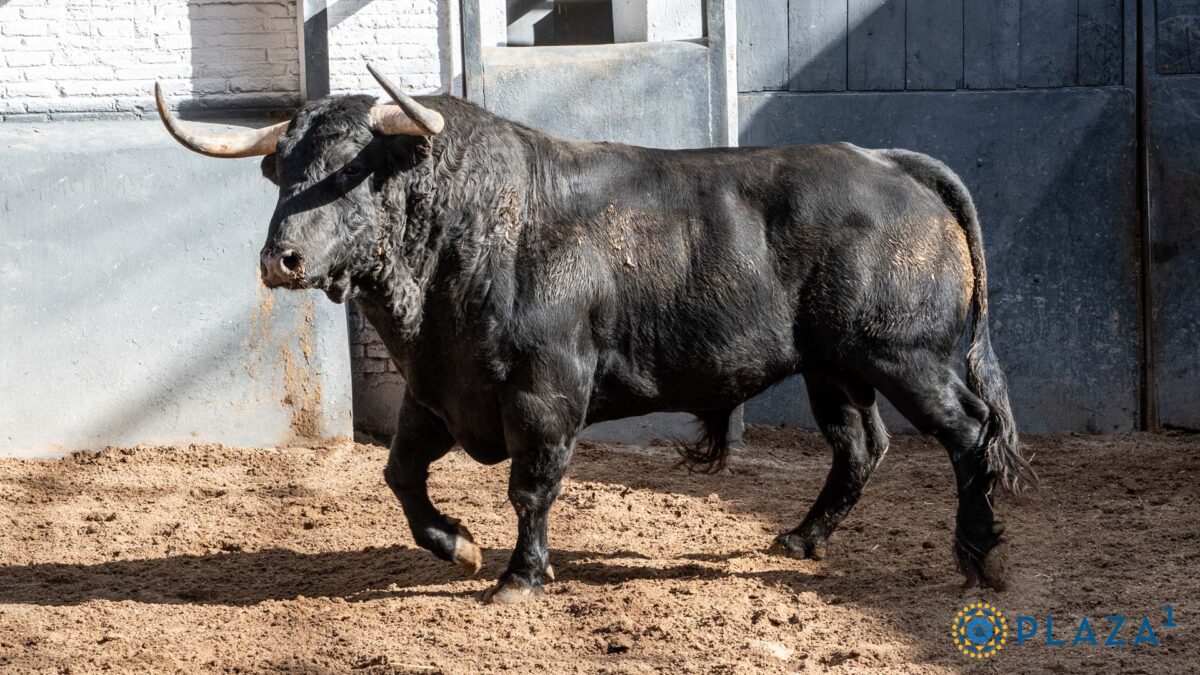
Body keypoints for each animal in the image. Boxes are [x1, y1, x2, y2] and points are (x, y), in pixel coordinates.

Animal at [162, 89, 1041, 598]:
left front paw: (518, 577)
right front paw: (460, 547)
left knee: (970, 433)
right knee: (860, 446)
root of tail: (887, 161)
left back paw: (979, 557)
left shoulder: (547, 392)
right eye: (282, 169)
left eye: (353, 168)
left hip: (908, 357)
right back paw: (801, 536)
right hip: (836, 367)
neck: (465, 231)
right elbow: (401, 474)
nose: (280, 259)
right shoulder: (436, 391)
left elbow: (531, 487)